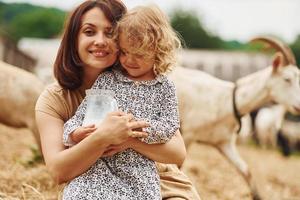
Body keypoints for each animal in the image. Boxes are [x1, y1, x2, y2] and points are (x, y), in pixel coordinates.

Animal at [170, 36, 300, 200]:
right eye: (287, 79)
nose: (299, 106)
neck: (227, 101)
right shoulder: (189, 134)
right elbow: (179, 167)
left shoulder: (224, 143)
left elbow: (246, 171)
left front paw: (258, 196)